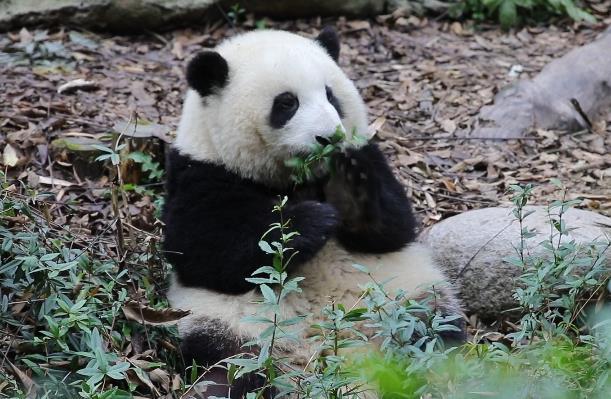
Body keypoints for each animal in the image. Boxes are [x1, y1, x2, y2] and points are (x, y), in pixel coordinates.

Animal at [163, 27, 464, 396]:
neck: (297, 178)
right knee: (231, 367)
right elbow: (201, 246)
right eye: (286, 103)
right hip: (234, 327)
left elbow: (395, 227)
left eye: (331, 96)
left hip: (410, 300)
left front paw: (348, 186)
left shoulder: (369, 154)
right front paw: (310, 223)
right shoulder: (199, 172)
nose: (329, 137)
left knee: (435, 335)